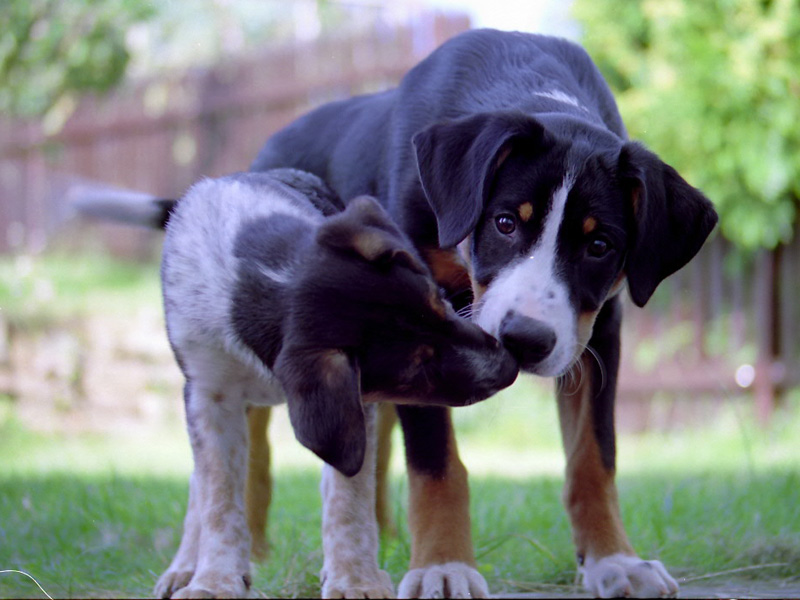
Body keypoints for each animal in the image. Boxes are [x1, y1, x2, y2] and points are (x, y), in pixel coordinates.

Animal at [253, 29, 716, 600]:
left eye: (600, 246)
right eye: (504, 222)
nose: (525, 340)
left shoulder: (598, 329)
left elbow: (594, 456)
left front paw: (615, 560)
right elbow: (436, 463)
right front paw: (443, 566)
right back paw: (250, 550)